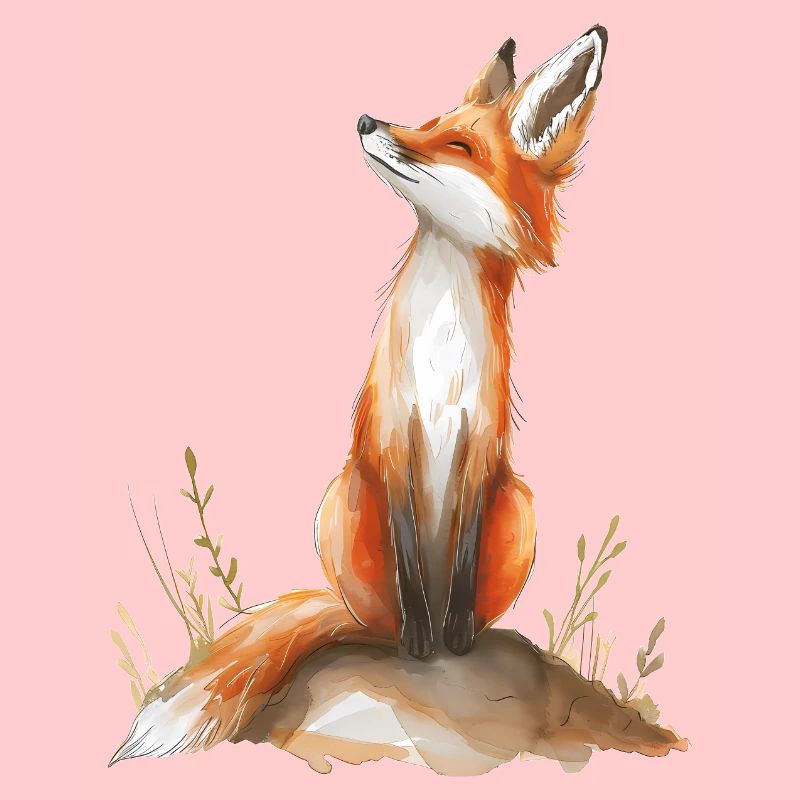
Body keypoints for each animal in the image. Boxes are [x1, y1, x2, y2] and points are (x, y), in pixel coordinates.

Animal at [111, 25, 608, 763]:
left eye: (458, 146)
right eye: (427, 123)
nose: (368, 121)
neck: (440, 355)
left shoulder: (479, 449)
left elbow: (460, 568)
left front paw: (453, 642)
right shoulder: (393, 440)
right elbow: (409, 568)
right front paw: (421, 645)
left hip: (518, 504)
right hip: (342, 501)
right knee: (371, 620)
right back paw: (391, 637)